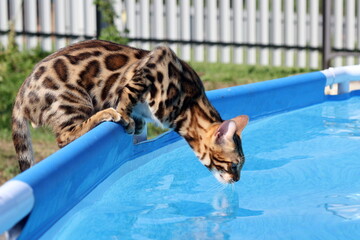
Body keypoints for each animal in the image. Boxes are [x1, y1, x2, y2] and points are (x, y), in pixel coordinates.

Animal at [10, 40, 248, 184]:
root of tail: (21, 91)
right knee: (65, 137)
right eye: (234, 164)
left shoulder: (142, 117)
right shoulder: (148, 70)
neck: (189, 104)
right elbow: (127, 98)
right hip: (73, 101)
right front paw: (122, 115)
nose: (237, 180)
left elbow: (139, 137)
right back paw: (106, 114)